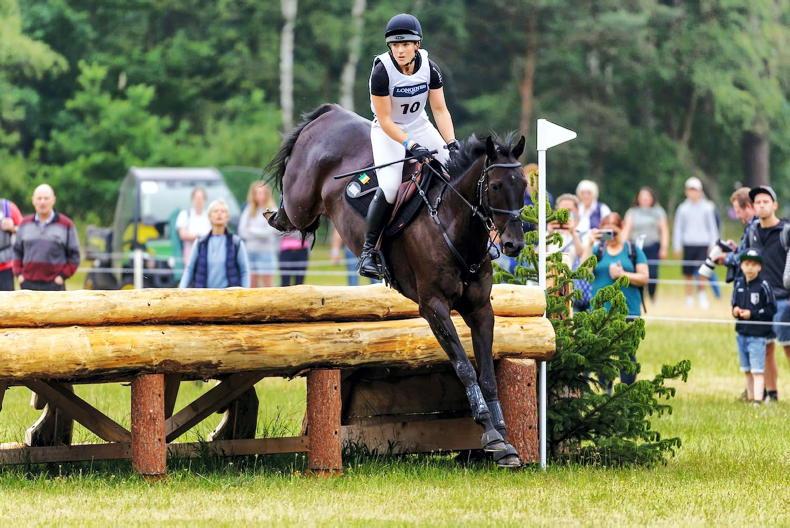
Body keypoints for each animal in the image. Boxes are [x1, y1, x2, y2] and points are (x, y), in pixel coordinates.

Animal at [265, 103, 526, 467]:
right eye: (497, 186)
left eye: (524, 184)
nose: (515, 244)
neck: (451, 224)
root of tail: (331, 113)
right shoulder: (433, 307)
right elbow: (464, 368)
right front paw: (490, 434)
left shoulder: (480, 309)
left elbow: (487, 374)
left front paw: (503, 440)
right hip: (302, 200)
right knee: (293, 211)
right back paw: (275, 216)